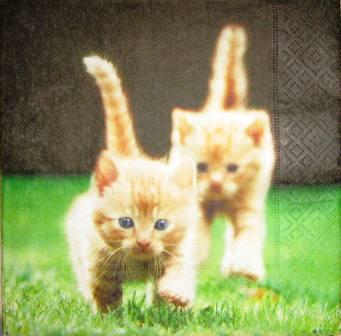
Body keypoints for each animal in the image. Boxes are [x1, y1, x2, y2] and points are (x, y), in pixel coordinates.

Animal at [65, 55, 198, 312]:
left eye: (161, 224)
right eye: (126, 222)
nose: (143, 242)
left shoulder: (181, 250)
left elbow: (178, 273)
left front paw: (175, 296)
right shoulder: (97, 261)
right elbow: (105, 293)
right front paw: (109, 316)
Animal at [169, 25, 274, 280]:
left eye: (233, 168)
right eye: (201, 167)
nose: (216, 183)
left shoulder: (249, 206)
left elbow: (248, 236)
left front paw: (245, 266)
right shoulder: (196, 204)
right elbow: (197, 233)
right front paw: (193, 258)